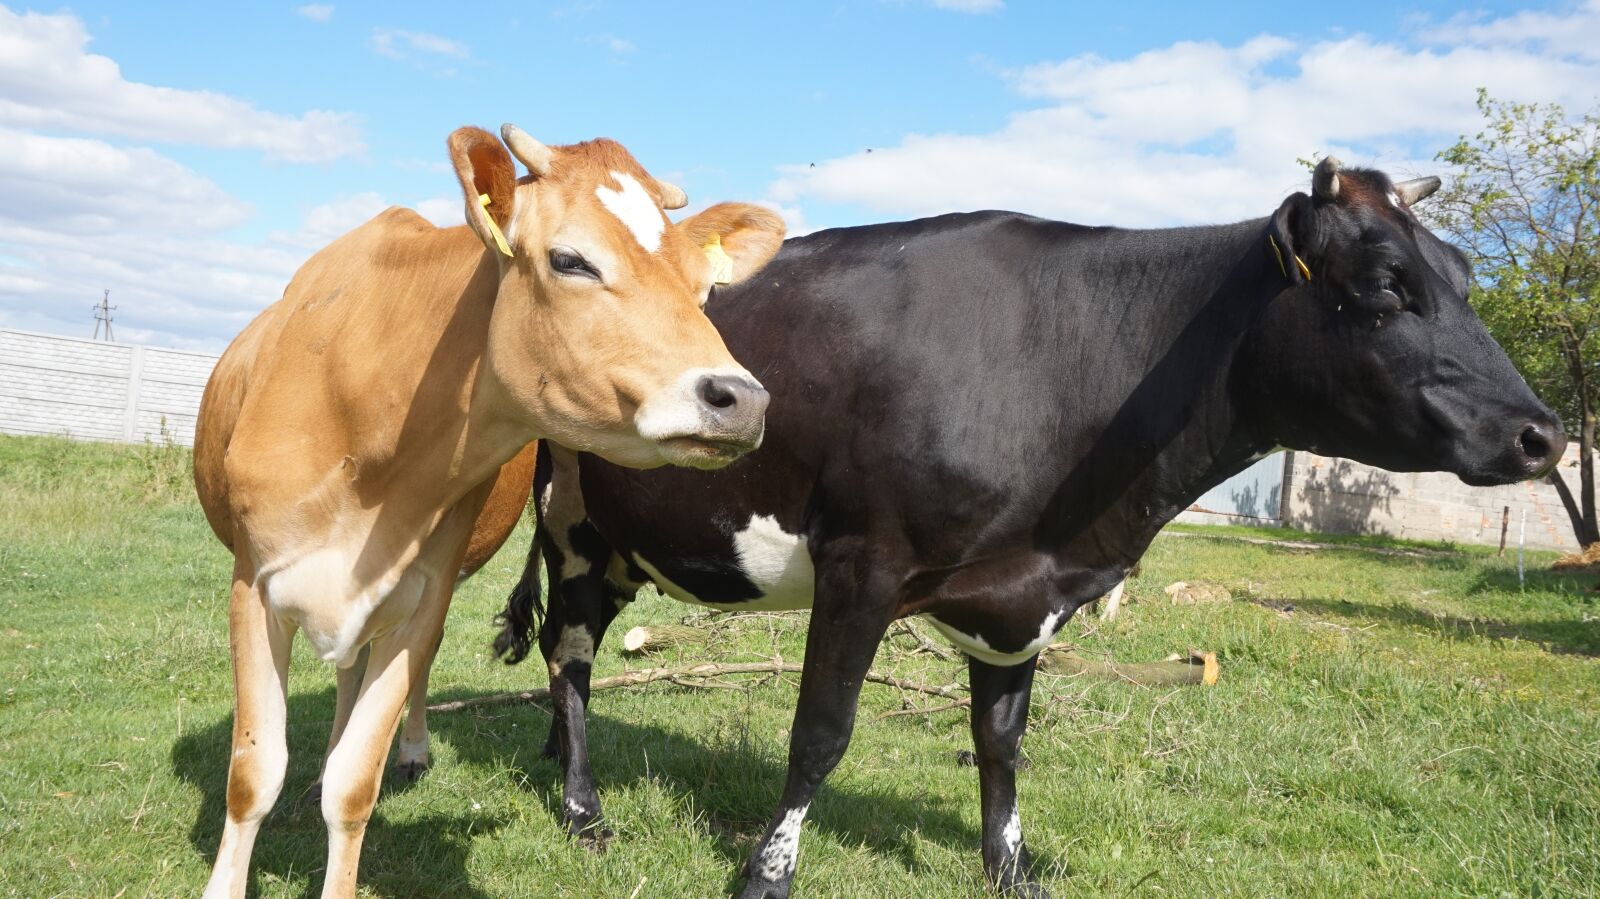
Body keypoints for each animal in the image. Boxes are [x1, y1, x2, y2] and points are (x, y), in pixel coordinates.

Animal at [191, 123, 784, 899]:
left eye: (704, 286)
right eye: (570, 260)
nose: (742, 399)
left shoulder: (421, 600)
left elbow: (354, 785)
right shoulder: (252, 587)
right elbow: (252, 775)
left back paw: (406, 747)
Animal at [489, 158, 1565, 899]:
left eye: (1465, 276)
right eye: (1384, 284)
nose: (1542, 432)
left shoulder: (1019, 595)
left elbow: (1002, 741)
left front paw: (1009, 868)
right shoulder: (862, 560)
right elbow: (820, 734)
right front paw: (767, 871)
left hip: (622, 539)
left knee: (566, 652)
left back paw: (555, 758)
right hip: (573, 521)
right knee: (569, 651)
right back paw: (583, 808)